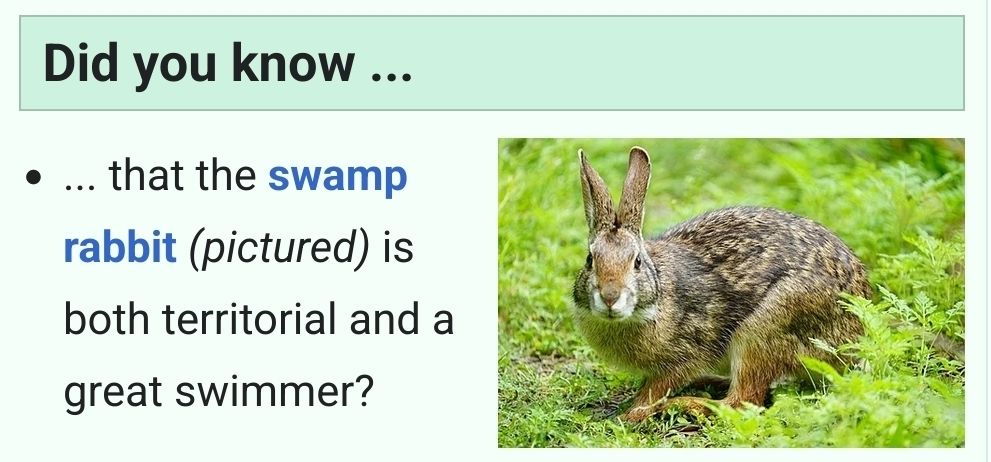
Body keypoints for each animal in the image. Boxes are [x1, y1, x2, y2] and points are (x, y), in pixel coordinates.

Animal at [572, 146, 871, 422]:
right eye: (589, 260)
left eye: (636, 262)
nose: (610, 297)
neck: (660, 297)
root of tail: (855, 338)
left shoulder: (688, 352)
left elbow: (656, 388)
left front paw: (632, 414)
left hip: (763, 329)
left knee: (743, 402)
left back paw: (682, 403)